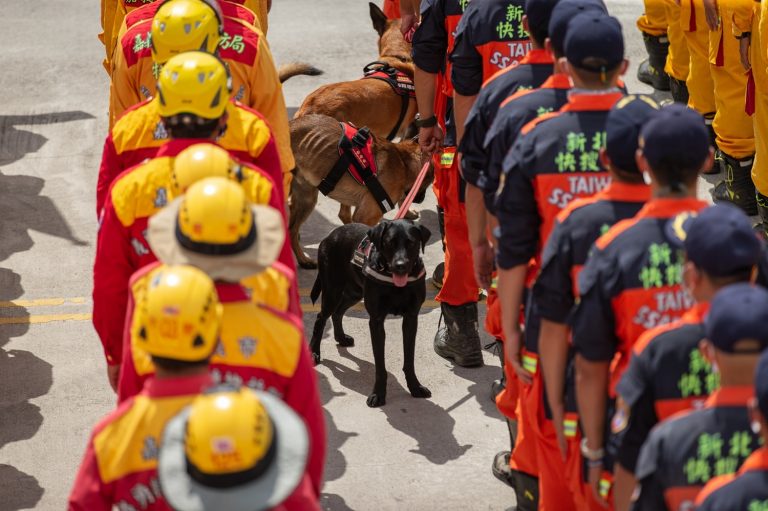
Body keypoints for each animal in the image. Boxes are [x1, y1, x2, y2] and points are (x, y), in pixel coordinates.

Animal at [288, 114, 432, 270]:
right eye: (430, 180)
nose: (421, 199)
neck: (403, 162)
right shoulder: (367, 217)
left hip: (306, 199)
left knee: (292, 230)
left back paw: (303, 260)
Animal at [310, 219, 432, 408]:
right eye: (389, 242)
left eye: (411, 243)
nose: (400, 266)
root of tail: (330, 236)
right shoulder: (376, 321)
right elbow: (380, 366)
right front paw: (378, 394)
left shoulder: (411, 318)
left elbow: (409, 360)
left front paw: (415, 387)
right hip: (332, 290)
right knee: (321, 318)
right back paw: (314, 352)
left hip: (354, 292)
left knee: (338, 312)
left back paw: (341, 337)